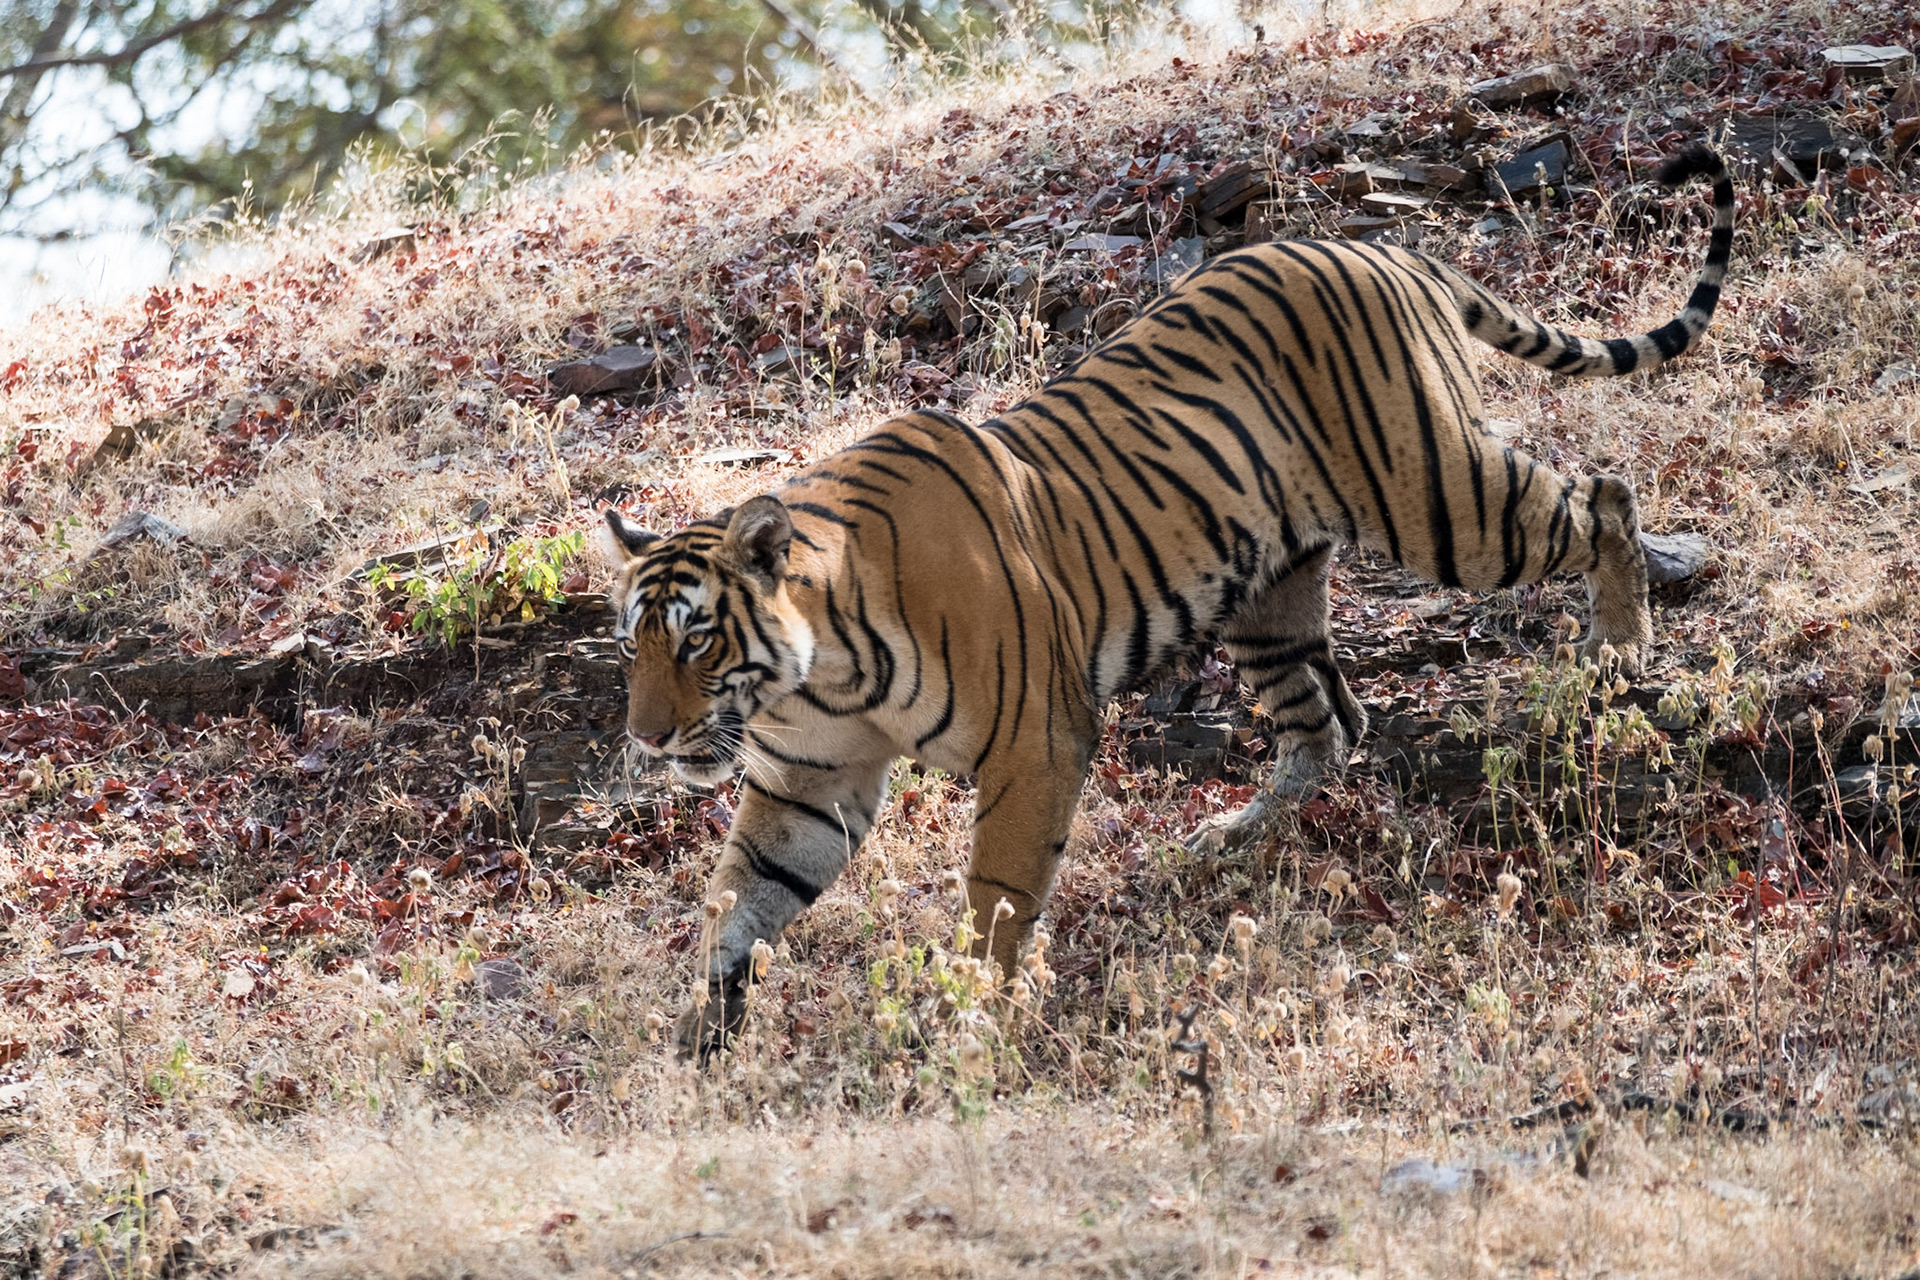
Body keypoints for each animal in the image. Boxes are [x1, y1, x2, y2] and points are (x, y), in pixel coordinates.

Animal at [594, 144, 1733, 1060]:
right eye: (633, 646)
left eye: (696, 639)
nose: (647, 739)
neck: (816, 676)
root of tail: (1384, 252)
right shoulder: (804, 782)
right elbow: (740, 902)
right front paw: (700, 1035)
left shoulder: (1034, 745)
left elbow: (996, 904)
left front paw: (975, 1022)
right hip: (1267, 598)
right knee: (1330, 726)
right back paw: (1227, 838)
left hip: (1444, 501)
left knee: (1602, 497)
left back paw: (1619, 646)